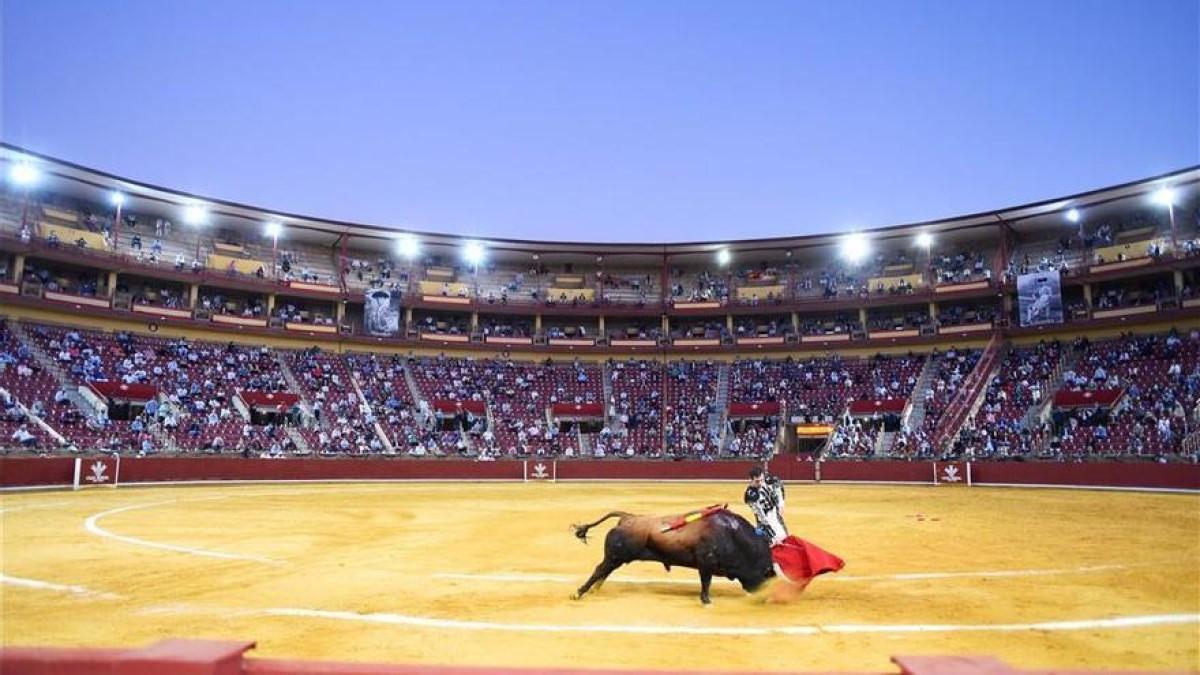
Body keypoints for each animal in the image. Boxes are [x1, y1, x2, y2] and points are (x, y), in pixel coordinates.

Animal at [566, 504, 772, 605]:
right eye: (765, 574)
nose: (764, 598)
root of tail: (627, 517)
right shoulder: (706, 564)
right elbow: (706, 583)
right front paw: (706, 601)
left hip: (615, 557)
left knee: (604, 571)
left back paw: (594, 590)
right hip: (615, 556)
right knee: (599, 570)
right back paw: (579, 593)